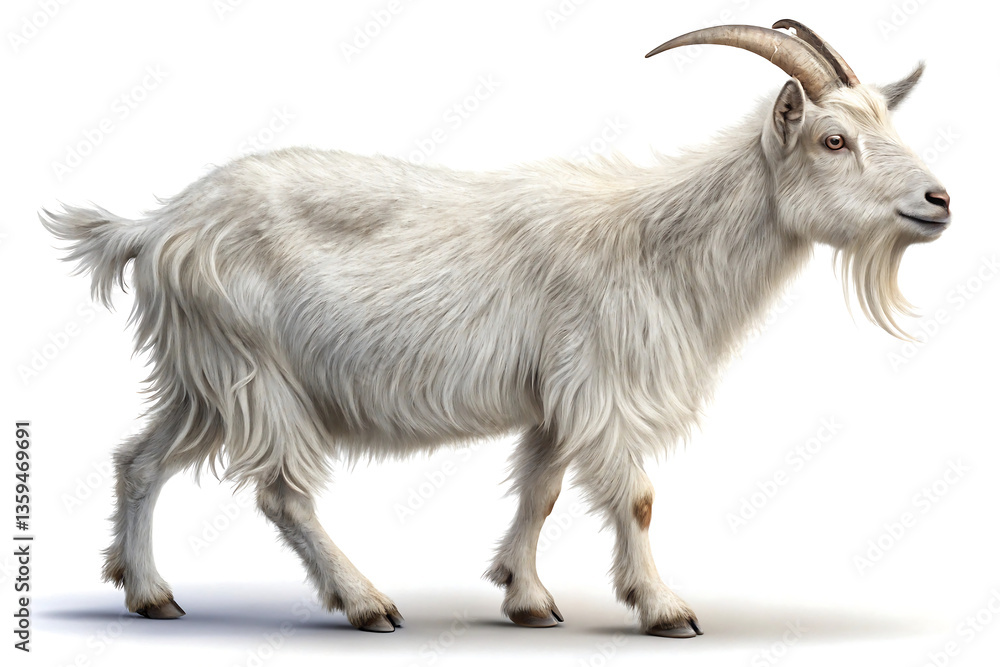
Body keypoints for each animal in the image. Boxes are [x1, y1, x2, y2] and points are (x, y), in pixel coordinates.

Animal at [42, 20, 949, 637]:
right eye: (833, 138)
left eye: (889, 129)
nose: (939, 199)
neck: (658, 241)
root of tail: (156, 227)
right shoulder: (600, 381)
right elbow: (638, 496)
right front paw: (664, 607)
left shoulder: (554, 394)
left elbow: (541, 488)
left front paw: (527, 595)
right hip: (255, 367)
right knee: (281, 489)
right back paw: (364, 601)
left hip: (203, 372)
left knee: (139, 459)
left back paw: (148, 591)